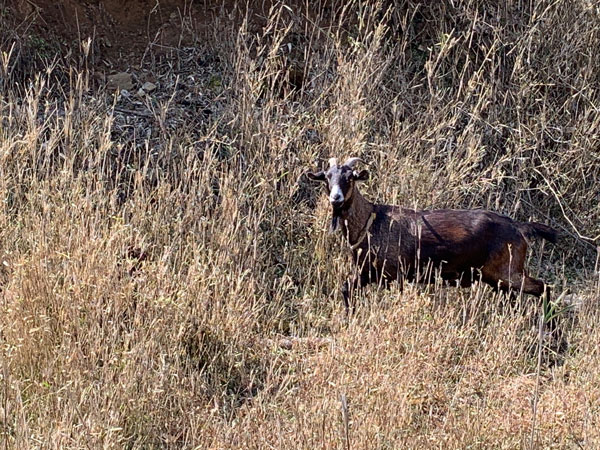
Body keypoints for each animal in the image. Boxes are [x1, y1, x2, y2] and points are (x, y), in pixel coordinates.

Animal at [308, 157, 560, 312]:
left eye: (350, 177)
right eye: (327, 177)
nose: (336, 198)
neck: (371, 222)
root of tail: (518, 227)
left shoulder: (396, 274)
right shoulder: (365, 272)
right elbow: (346, 289)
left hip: (508, 272)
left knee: (544, 288)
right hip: (498, 279)